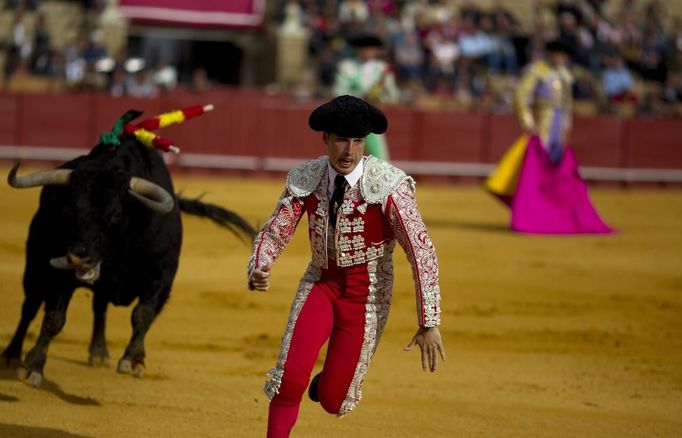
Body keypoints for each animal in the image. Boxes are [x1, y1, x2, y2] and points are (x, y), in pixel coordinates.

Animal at [1, 137, 255, 386]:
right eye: (68, 209)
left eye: (116, 214)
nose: (79, 256)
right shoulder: (60, 275)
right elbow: (54, 318)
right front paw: (33, 366)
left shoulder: (162, 274)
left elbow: (143, 313)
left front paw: (132, 360)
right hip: (35, 263)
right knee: (30, 306)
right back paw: (11, 356)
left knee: (99, 307)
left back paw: (99, 353)